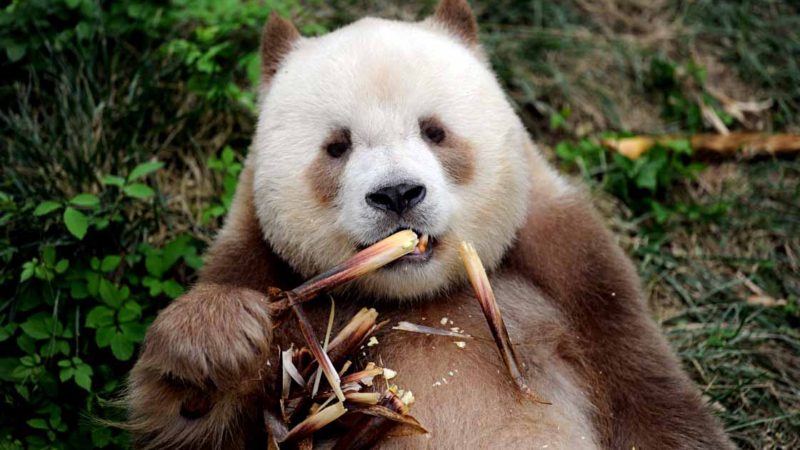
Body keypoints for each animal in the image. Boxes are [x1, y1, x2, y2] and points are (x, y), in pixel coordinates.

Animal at [126, 1, 736, 448]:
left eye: (435, 131)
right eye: (337, 146)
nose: (398, 194)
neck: (420, 298)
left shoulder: (580, 279)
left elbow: (653, 404)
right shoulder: (257, 262)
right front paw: (215, 342)